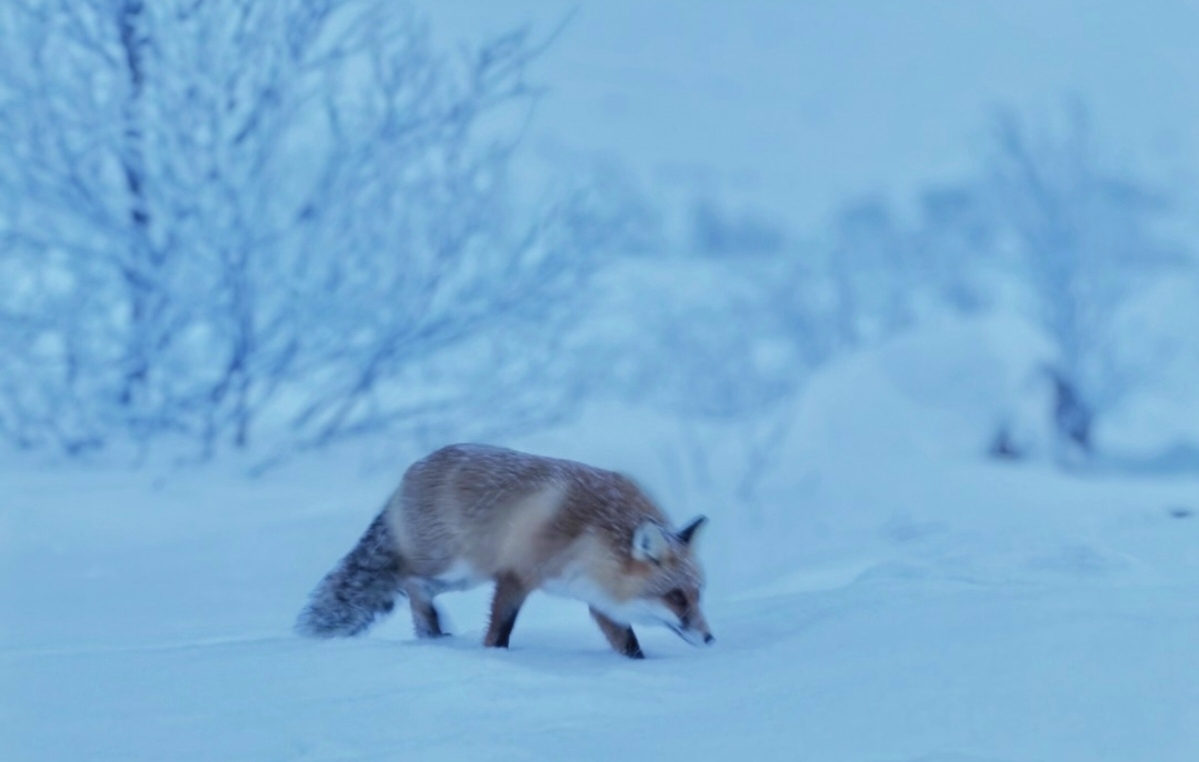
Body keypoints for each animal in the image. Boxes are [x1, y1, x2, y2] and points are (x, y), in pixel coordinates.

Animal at [297, 443, 709, 656]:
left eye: (698, 595)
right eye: (675, 597)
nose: (710, 638)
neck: (593, 532)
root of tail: (411, 470)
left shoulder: (597, 597)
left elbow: (628, 643)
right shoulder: (514, 576)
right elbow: (499, 631)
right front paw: (495, 659)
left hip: (461, 578)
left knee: (411, 585)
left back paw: (434, 631)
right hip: (456, 569)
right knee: (408, 580)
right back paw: (430, 633)